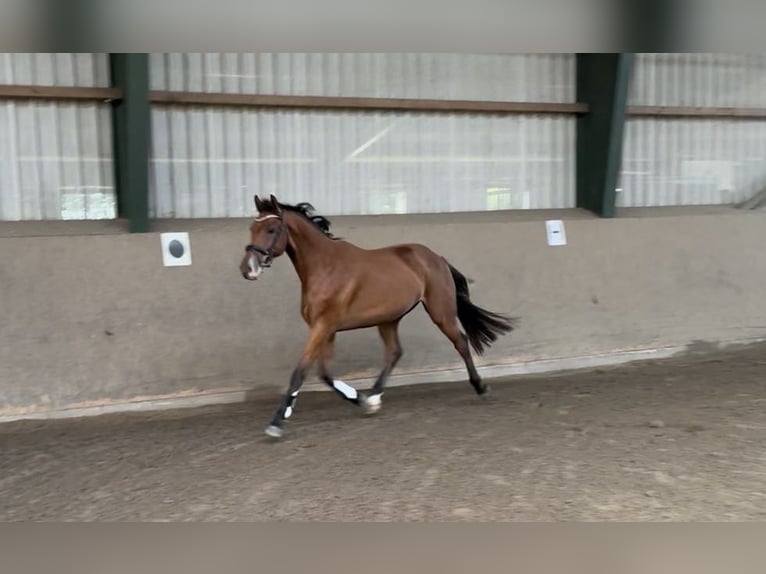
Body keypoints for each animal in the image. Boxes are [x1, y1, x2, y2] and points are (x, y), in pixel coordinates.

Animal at [240, 195, 516, 440]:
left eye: (271, 229)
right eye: (252, 228)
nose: (247, 269)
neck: (324, 267)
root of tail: (436, 258)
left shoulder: (323, 326)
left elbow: (300, 372)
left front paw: (276, 423)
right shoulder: (325, 329)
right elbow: (325, 374)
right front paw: (362, 402)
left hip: (440, 312)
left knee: (460, 342)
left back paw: (481, 387)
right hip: (389, 319)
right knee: (394, 352)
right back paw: (373, 397)